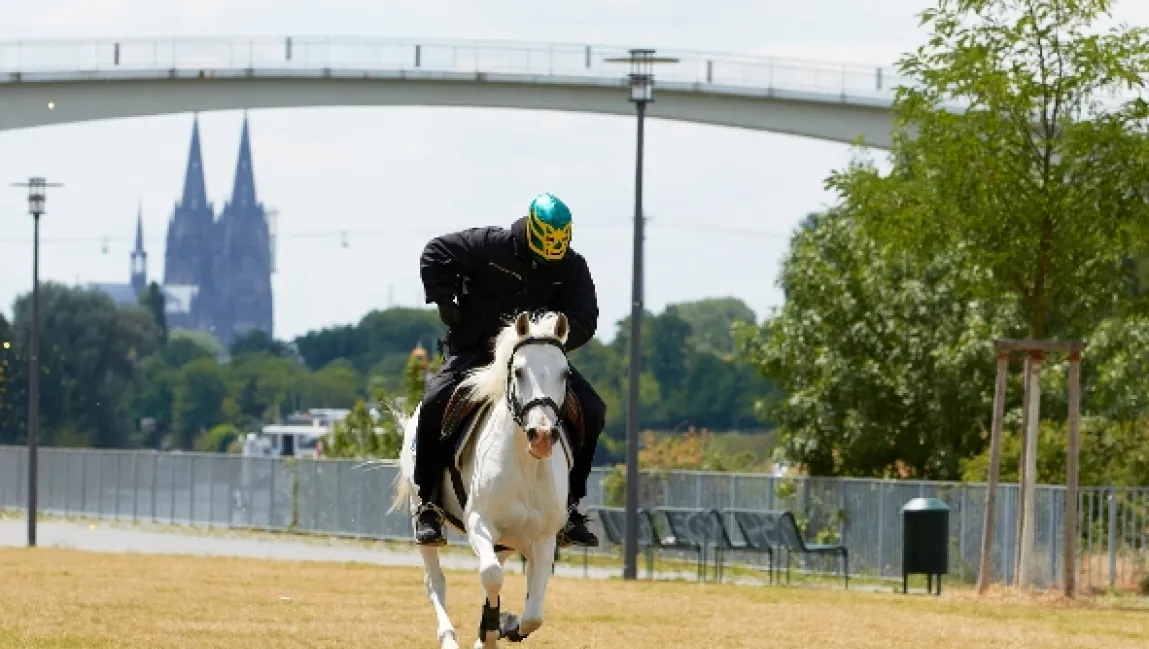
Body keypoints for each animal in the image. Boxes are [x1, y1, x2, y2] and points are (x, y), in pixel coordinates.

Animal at [390, 310, 575, 649]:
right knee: (435, 582)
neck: (525, 466)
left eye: (565, 374)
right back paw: (449, 638)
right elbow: (490, 575)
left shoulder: (544, 539)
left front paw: (505, 626)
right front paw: (491, 630)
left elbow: (533, 613)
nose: (542, 436)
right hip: (422, 518)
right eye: (518, 371)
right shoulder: (480, 522)